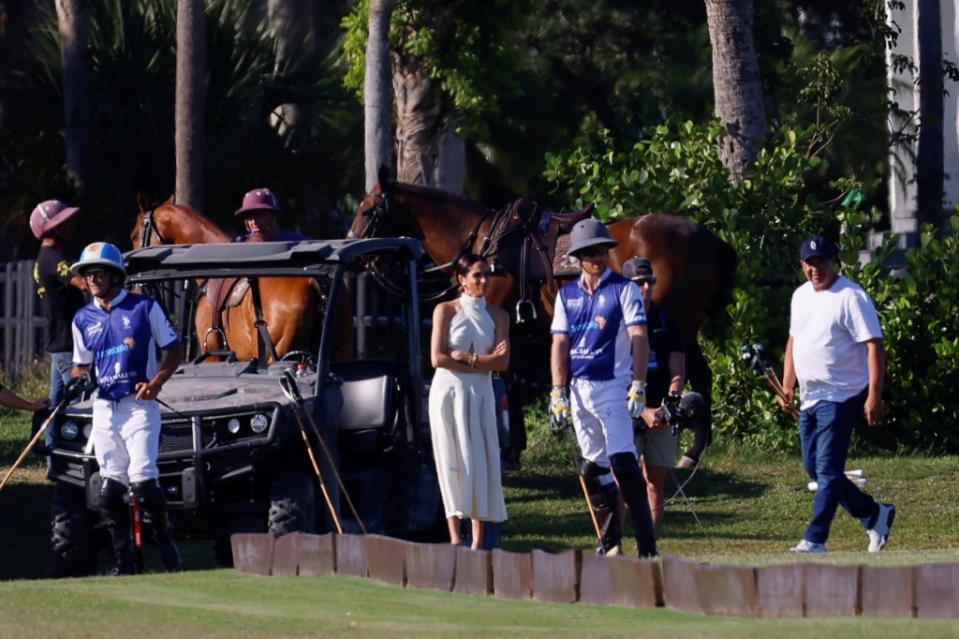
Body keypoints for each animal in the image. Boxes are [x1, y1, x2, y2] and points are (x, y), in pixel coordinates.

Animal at [348, 178, 740, 456]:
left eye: (367, 210)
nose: (353, 249)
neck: (484, 246)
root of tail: (708, 238)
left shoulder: (499, 324)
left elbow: (506, 381)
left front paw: (510, 451)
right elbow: (512, 383)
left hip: (679, 326)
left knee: (698, 376)